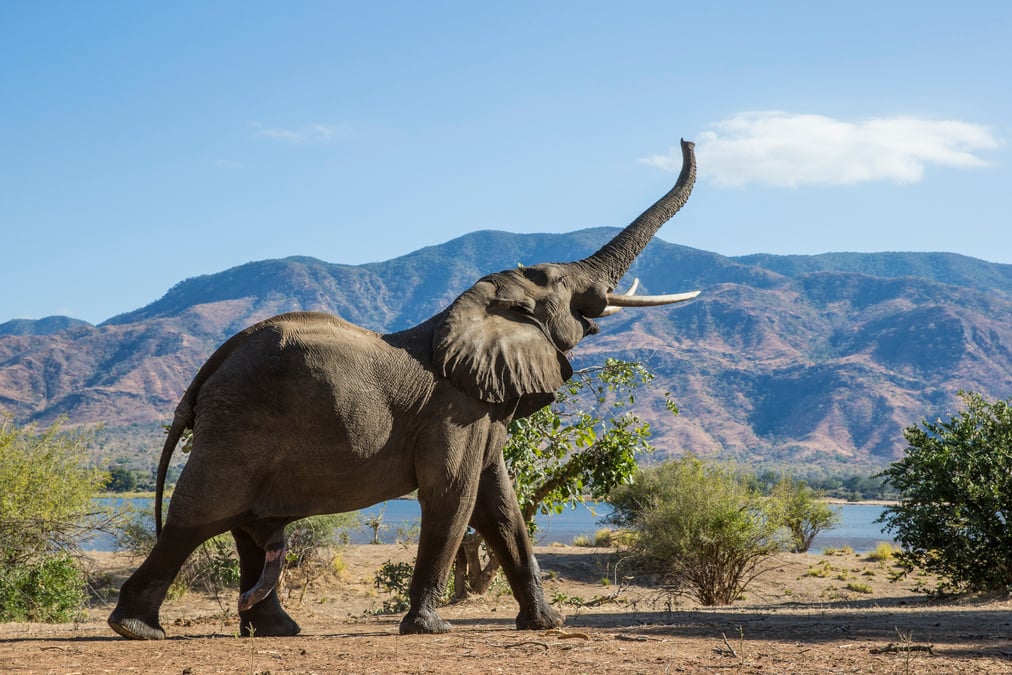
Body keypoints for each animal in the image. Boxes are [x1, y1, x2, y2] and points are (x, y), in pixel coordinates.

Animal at [106, 138, 700, 643]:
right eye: (557, 281)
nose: (687, 139)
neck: (474, 307)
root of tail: (207, 371)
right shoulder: (454, 412)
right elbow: (454, 495)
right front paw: (429, 629)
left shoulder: (482, 410)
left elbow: (501, 506)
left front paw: (546, 624)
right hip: (237, 425)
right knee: (198, 518)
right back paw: (136, 630)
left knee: (246, 528)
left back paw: (276, 631)